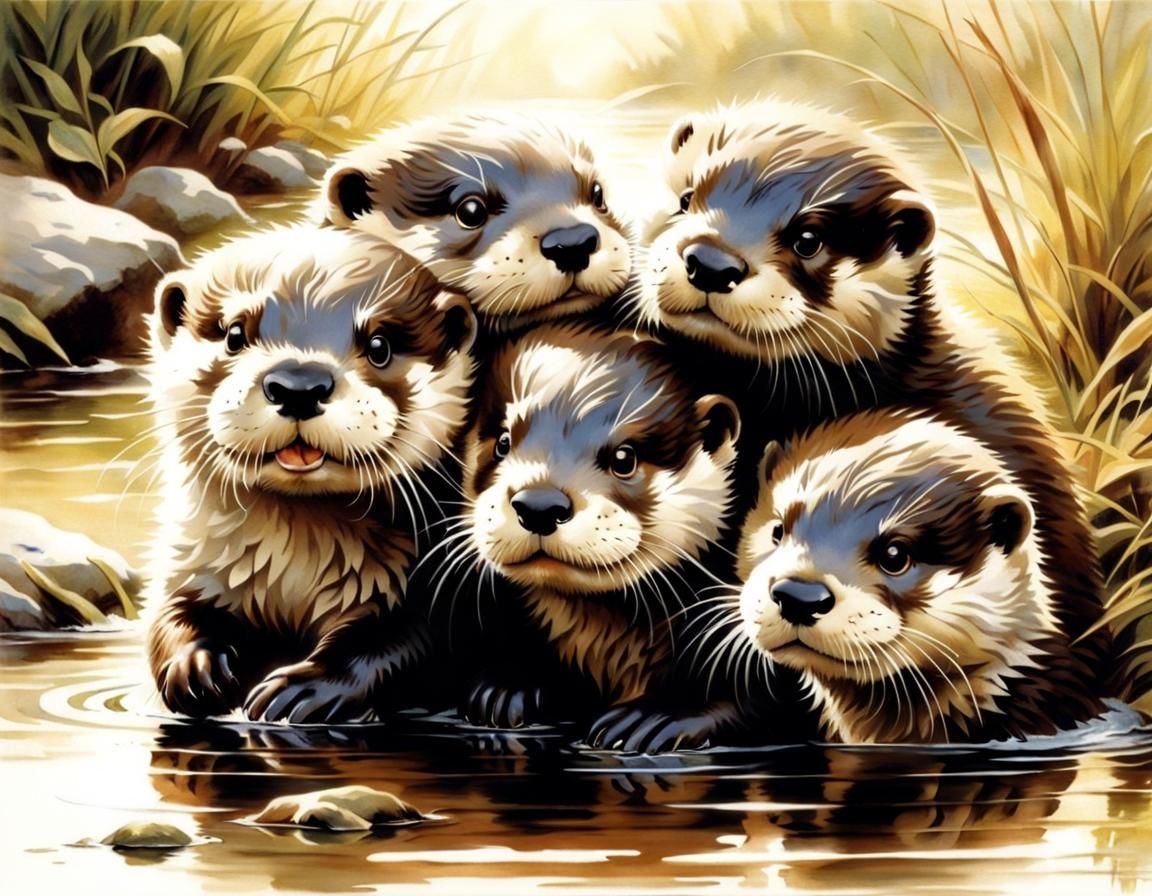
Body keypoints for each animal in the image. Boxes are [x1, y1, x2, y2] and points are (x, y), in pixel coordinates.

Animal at [145, 227, 476, 723]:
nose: (298, 385)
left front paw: (304, 687)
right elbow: (171, 615)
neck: (293, 572)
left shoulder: (429, 584)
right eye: (235, 334)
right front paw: (196, 666)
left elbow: (398, 643)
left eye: (379, 345)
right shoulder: (192, 563)